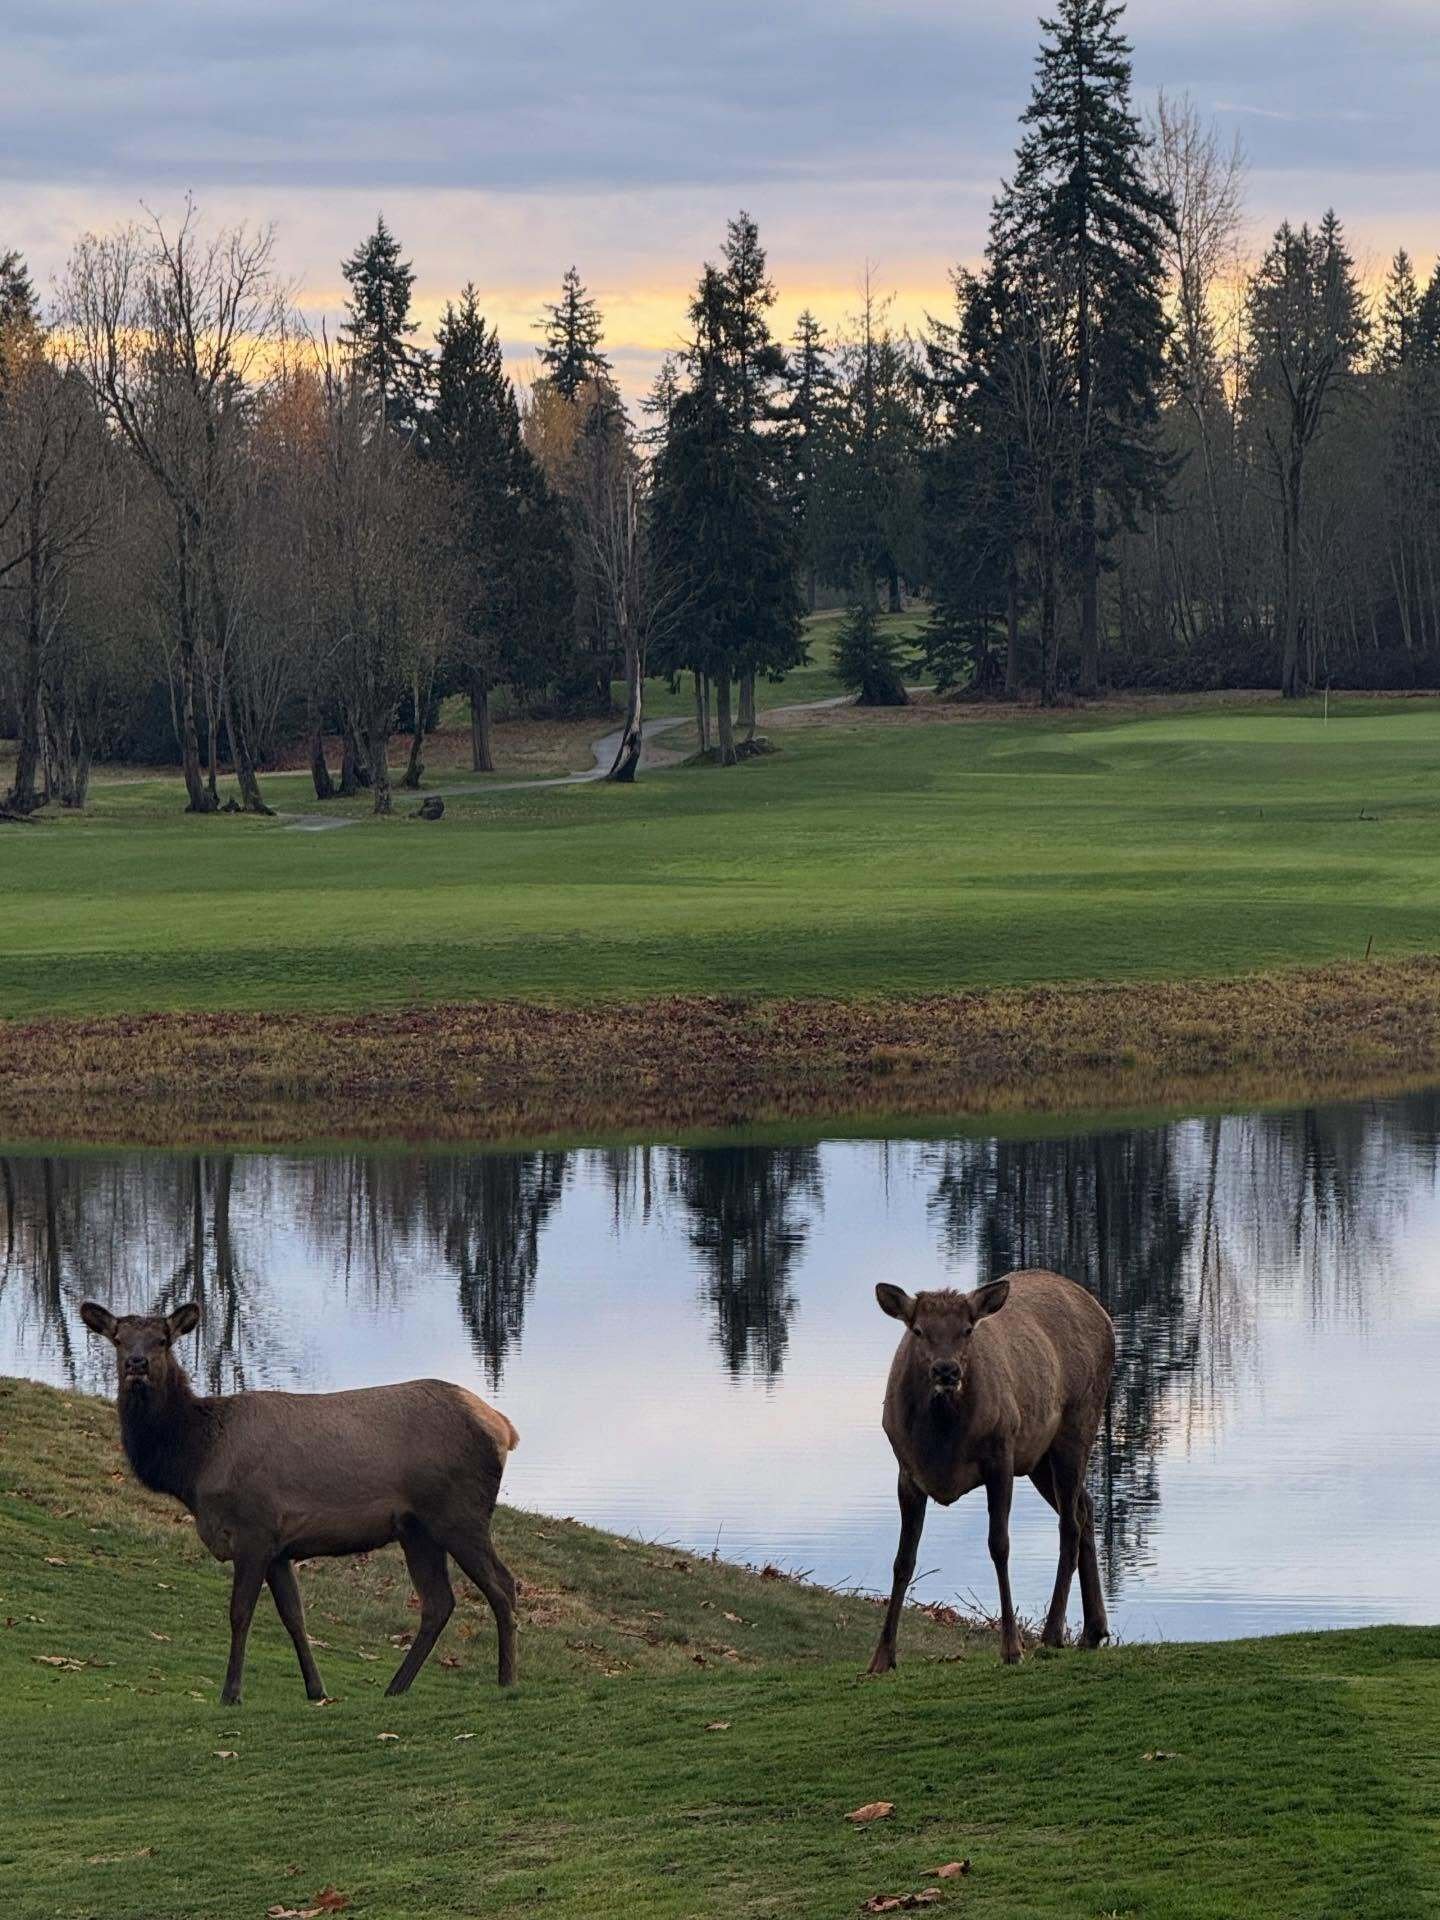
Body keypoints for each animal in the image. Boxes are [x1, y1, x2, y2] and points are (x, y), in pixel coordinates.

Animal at [79, 1299, 520, 1706]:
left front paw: (231, 1693)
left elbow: (240, 1613)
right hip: (417, 1529)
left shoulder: (254, 1528)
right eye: (118, 1338)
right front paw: (316, 1689)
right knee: (438, 1602)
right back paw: (396, 1687)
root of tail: (503, 1427)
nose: (136, 1363)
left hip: (459, 1512)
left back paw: (506, 1680)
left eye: (163, 1340)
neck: (196, 1461)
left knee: (502, 1584)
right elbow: (294, 1616)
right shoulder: (279, 1547)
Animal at [867, 1270, 1114, 1671]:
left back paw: (1052, 1634)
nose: (947, 1370)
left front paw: (1012, 1648)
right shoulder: (907, 1471)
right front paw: (881, 1658)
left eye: (968, 1329)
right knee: (1085, 1507)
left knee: (1069, 1524)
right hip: (1039, 1458)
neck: (941, 1442)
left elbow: (999, 1545)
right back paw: (1093, 1631)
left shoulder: (1001, 1455)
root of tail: (1102, 1314)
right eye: (918, 1330)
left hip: (1077, 1423)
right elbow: (903, 1560)